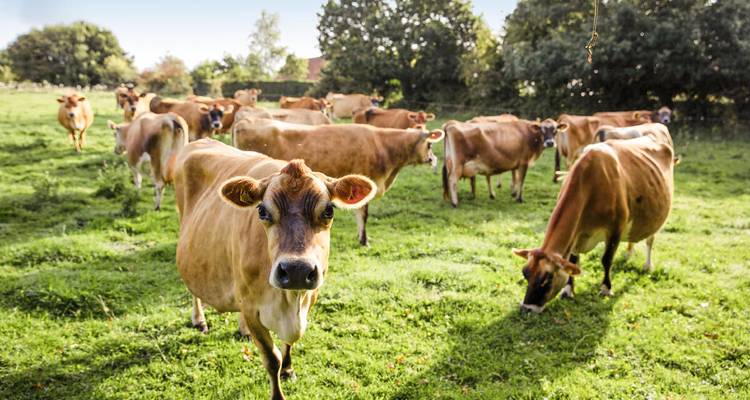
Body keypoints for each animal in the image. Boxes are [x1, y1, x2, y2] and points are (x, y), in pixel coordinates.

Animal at [174, 138, 376, 400]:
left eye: (329, 210)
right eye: (262, 211)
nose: (297, 270)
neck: (288, 303)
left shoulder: (309, 296)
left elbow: (287, 345)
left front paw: (289, 368)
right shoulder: (252, 309)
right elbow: (271, 360)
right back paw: (199, 320)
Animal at [512, 127, 675, 313]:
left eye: (548, 279)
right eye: (525, 273)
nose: (526, 308)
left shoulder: (616, 229)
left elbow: (606, 260)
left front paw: (606, 288)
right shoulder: (577, 233)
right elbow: (573, 261)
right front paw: (568, 290)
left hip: (657, 217)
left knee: (650, 240)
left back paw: (647, 265)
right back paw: (628, 253)